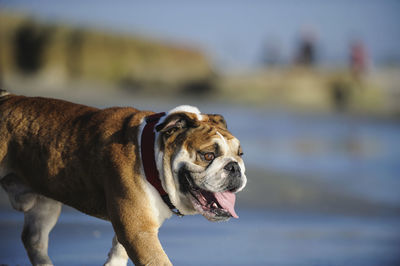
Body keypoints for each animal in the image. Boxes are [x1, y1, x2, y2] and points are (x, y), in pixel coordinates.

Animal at [0, 90, 245, 266]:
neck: (153, 156)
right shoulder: (139, 232)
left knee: (33, 240)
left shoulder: (131, 227)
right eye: (208, 155)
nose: (234, 167)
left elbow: (117, 253)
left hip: (46, 206)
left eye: (240, 154)